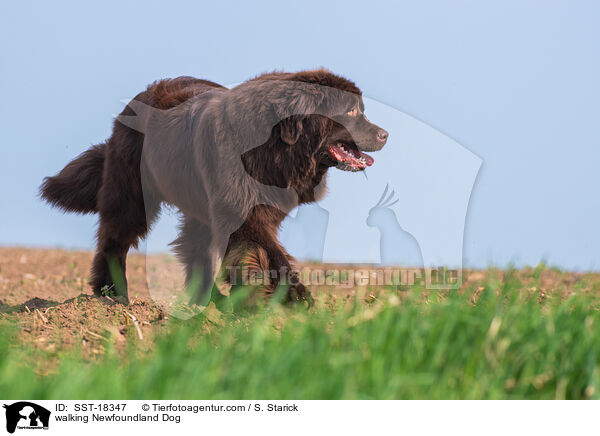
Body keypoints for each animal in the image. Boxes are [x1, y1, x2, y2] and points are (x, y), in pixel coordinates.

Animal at [42, 70, 390, 304]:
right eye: (352, 111)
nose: (385, 134)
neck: (273, 147)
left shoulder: (256, 211)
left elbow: (253, 253)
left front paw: (253, 295)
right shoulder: (241, 211)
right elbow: (272, 254)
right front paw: (295, 297)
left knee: (195, 251)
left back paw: (207, 303)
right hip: (132, 198)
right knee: (114, 242)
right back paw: (112, 296)